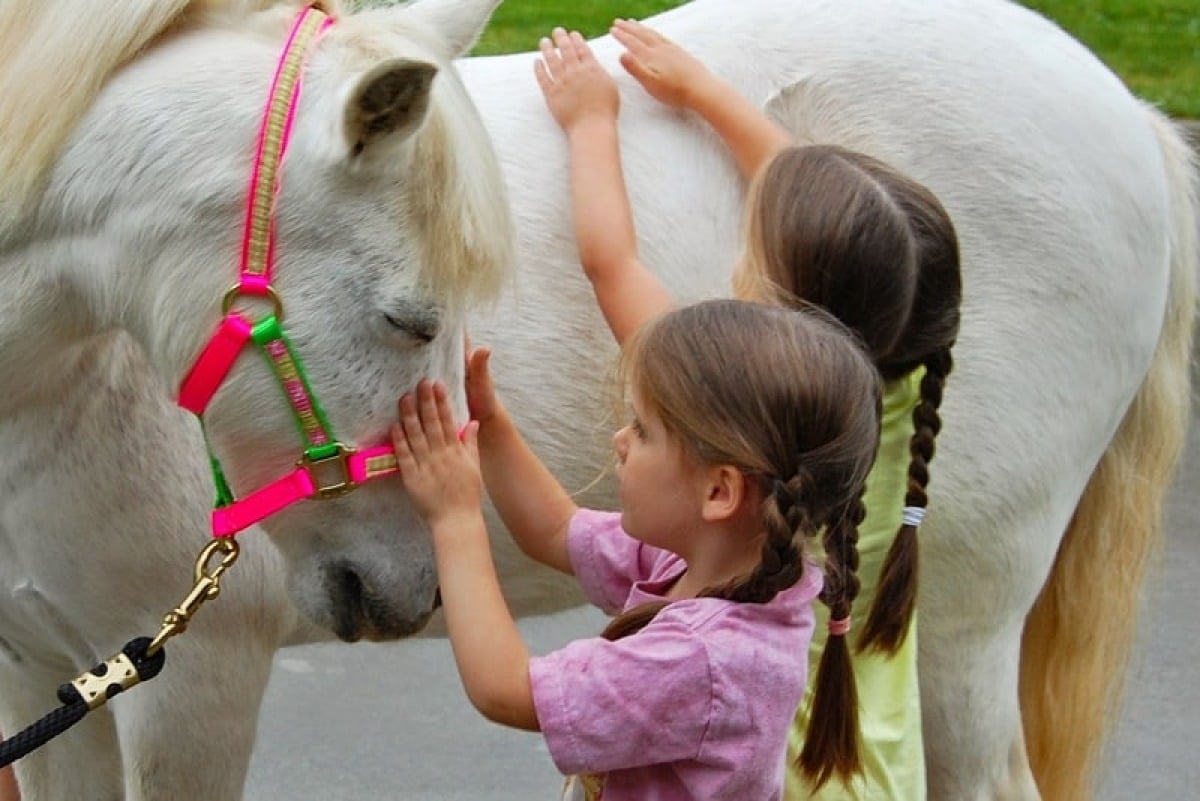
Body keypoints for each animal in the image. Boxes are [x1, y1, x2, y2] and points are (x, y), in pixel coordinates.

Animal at [0, 0, 1194, 800]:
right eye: (415, 319)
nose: (409, 587)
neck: (59, 391)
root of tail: (1131, 116)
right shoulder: (46, 682)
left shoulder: (191, 690)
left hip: (955, 626)